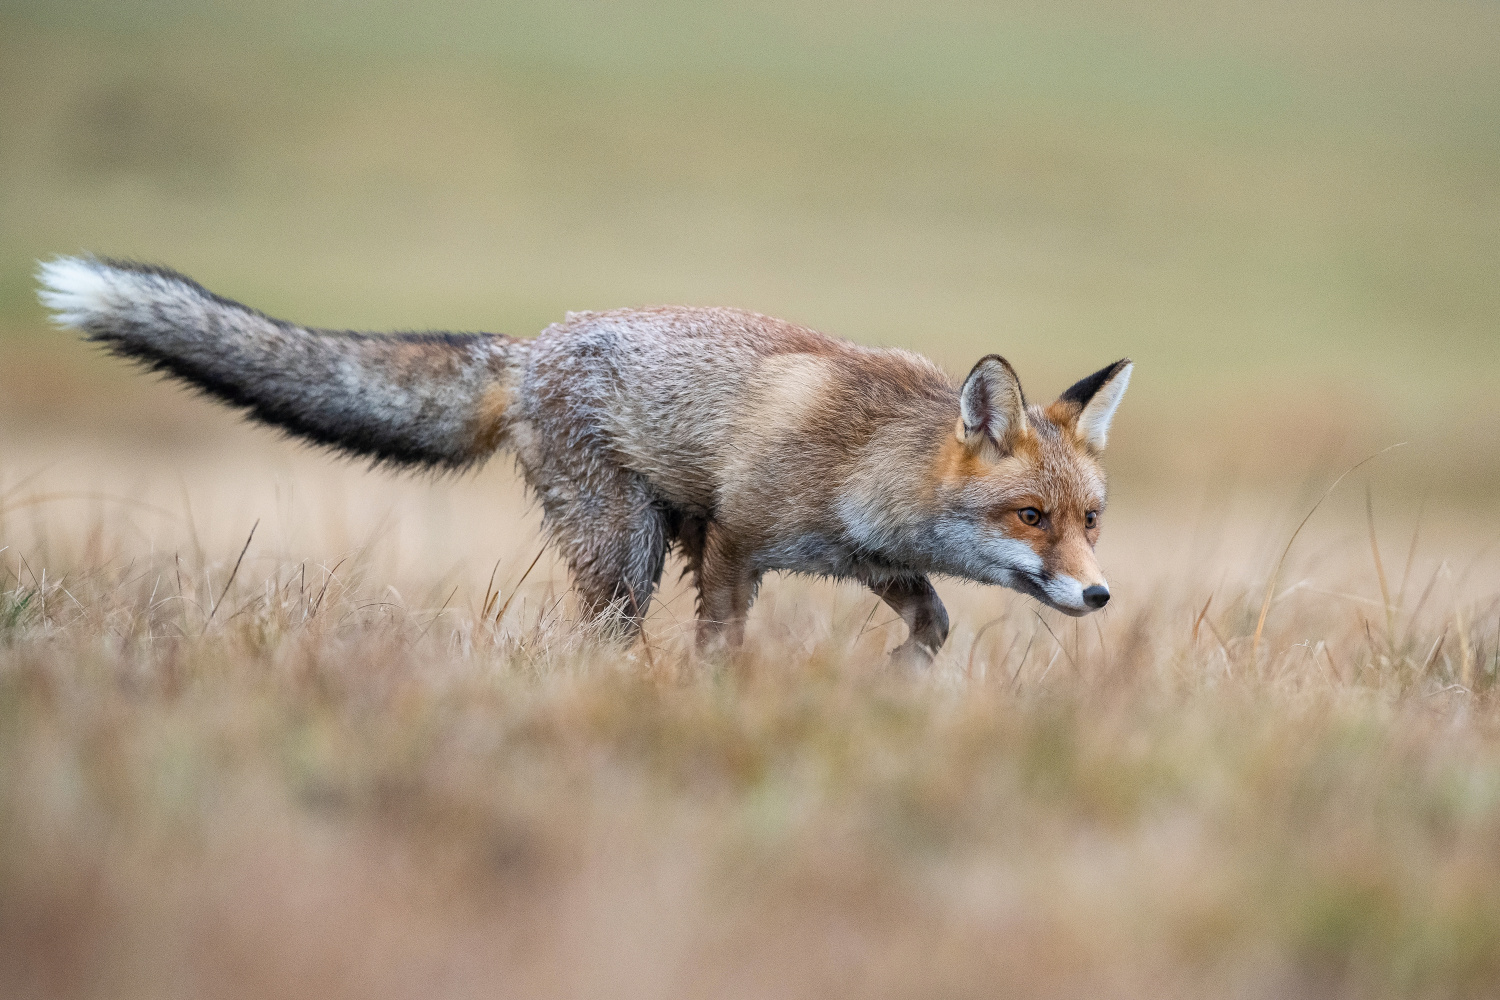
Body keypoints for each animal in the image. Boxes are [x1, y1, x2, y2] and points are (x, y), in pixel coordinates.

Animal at [41, 257, 1128, 659]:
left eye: (1091, 519)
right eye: (1031, 516)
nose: (1099, 594)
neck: (868, 456)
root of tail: (530, 349)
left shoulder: (872, 560)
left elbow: (935, 624)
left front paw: (901, 676)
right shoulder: (734, 543)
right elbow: (722, 646)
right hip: (626, 549)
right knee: (599, 640)